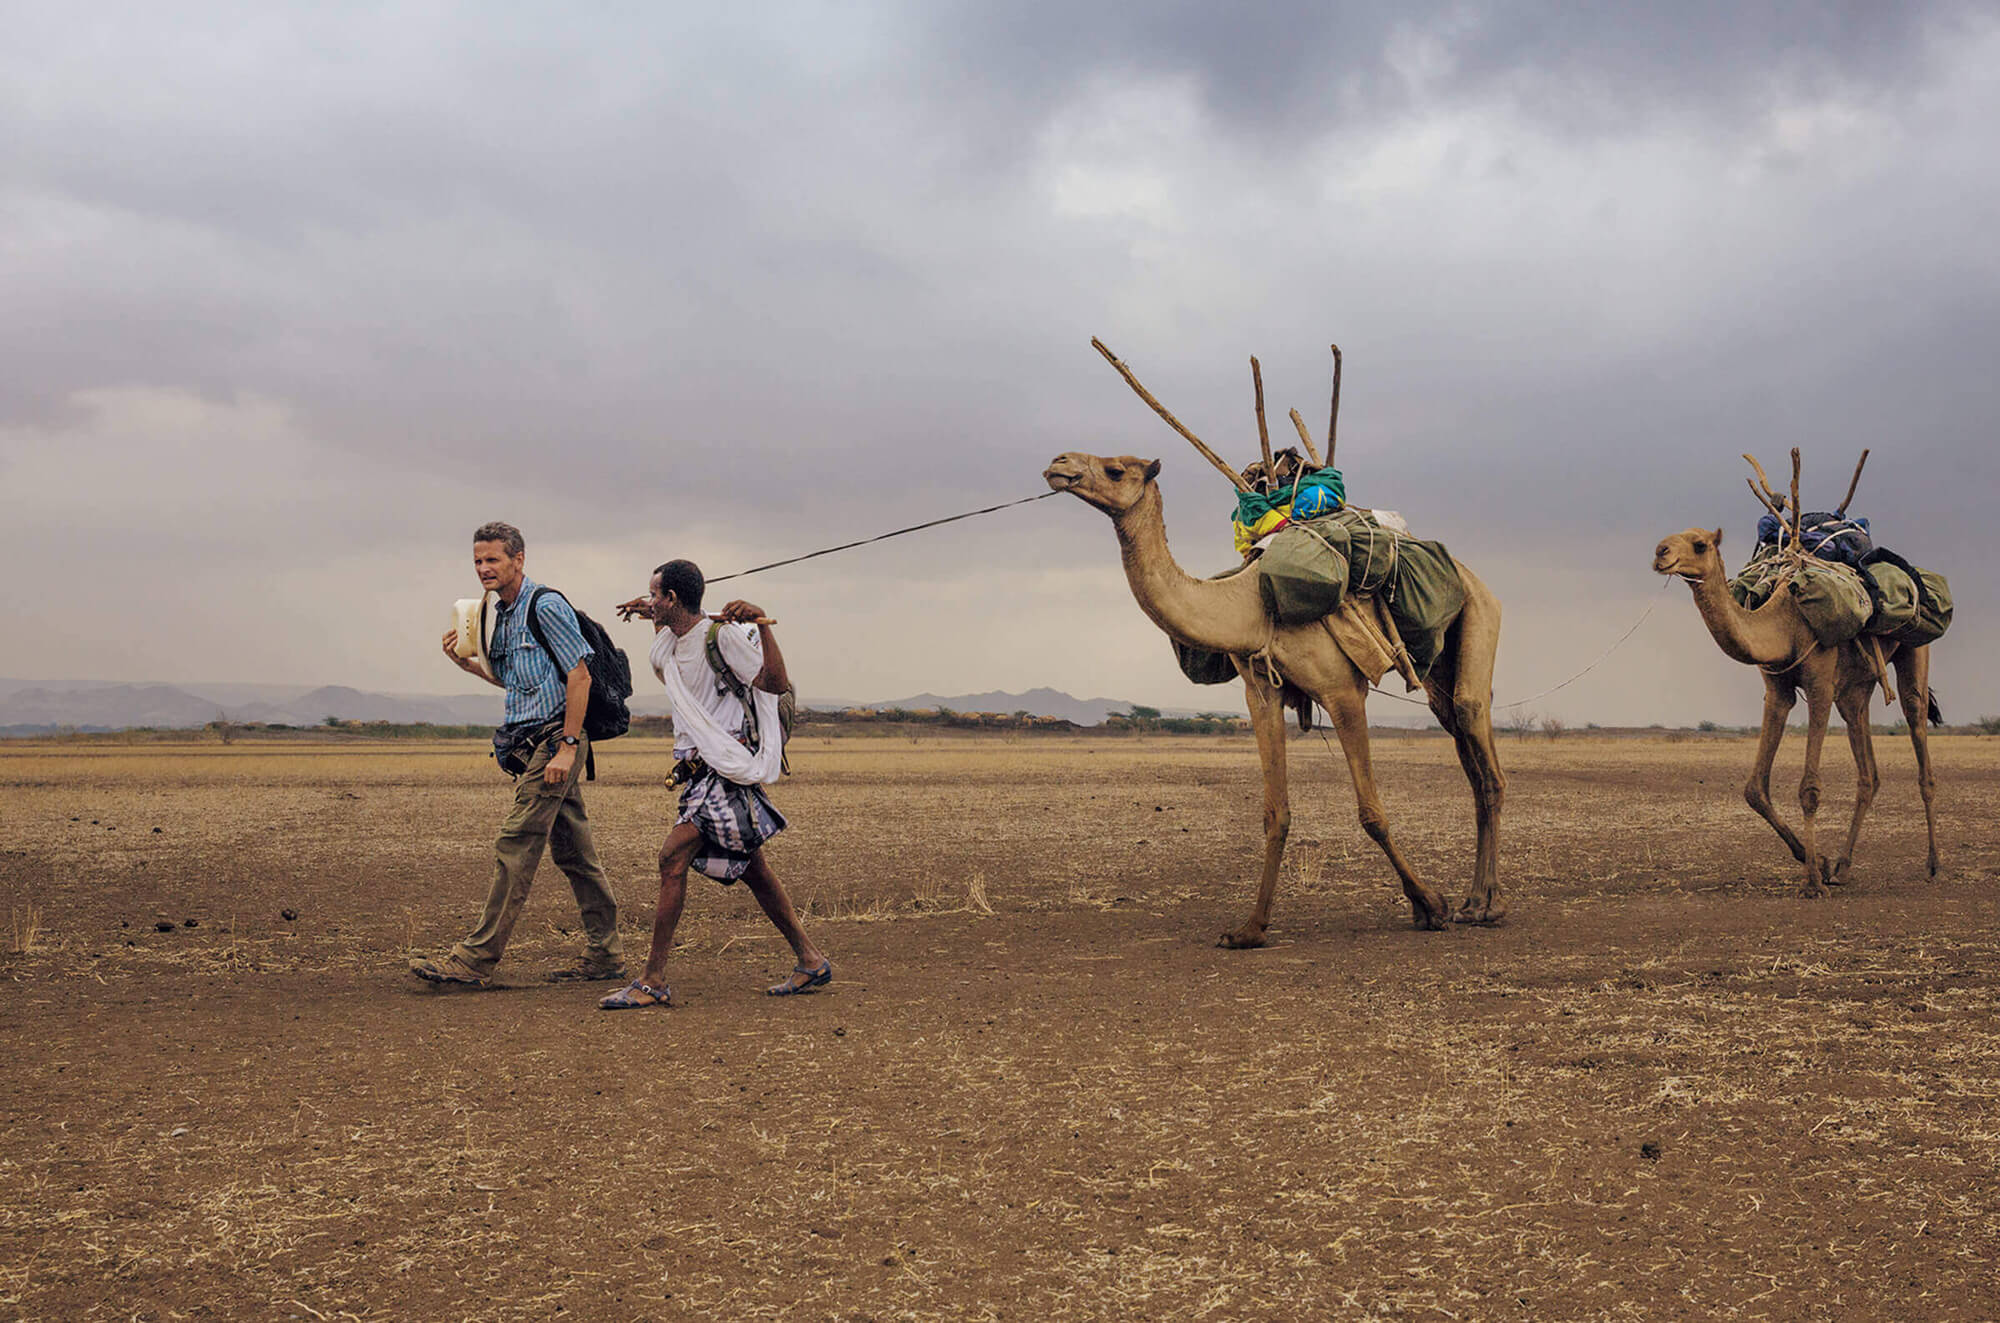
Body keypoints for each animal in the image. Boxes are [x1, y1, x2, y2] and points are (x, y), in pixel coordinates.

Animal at [1048, 337, 1504, 947]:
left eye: (1115, 468)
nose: (1058, 465)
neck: (1250, 606)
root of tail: (1469, 573)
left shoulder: (1342, 691)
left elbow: (1371, 812)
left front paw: (1430, 904)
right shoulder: (1259, 693)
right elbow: (1275, 812)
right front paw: (1249, 928)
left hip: (1479, 617)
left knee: (1485, 753)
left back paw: (1486, 906)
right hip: (1436, 674)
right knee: (1468, 757)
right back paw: (1477, 899)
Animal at [1656, 451, 1936, 895]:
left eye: (1699, 544)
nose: (1660, 553)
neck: (1783, 621)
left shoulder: (1819, 682)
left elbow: (1809, 788)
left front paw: (1812, 883)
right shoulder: (1777, 687)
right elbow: (1754, 789)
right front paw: (1816, 861)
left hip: (1914, 651)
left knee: (1917, 727)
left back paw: (1932, 863)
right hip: (1855, 688)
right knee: (1868, 772)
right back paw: (1843, 866)